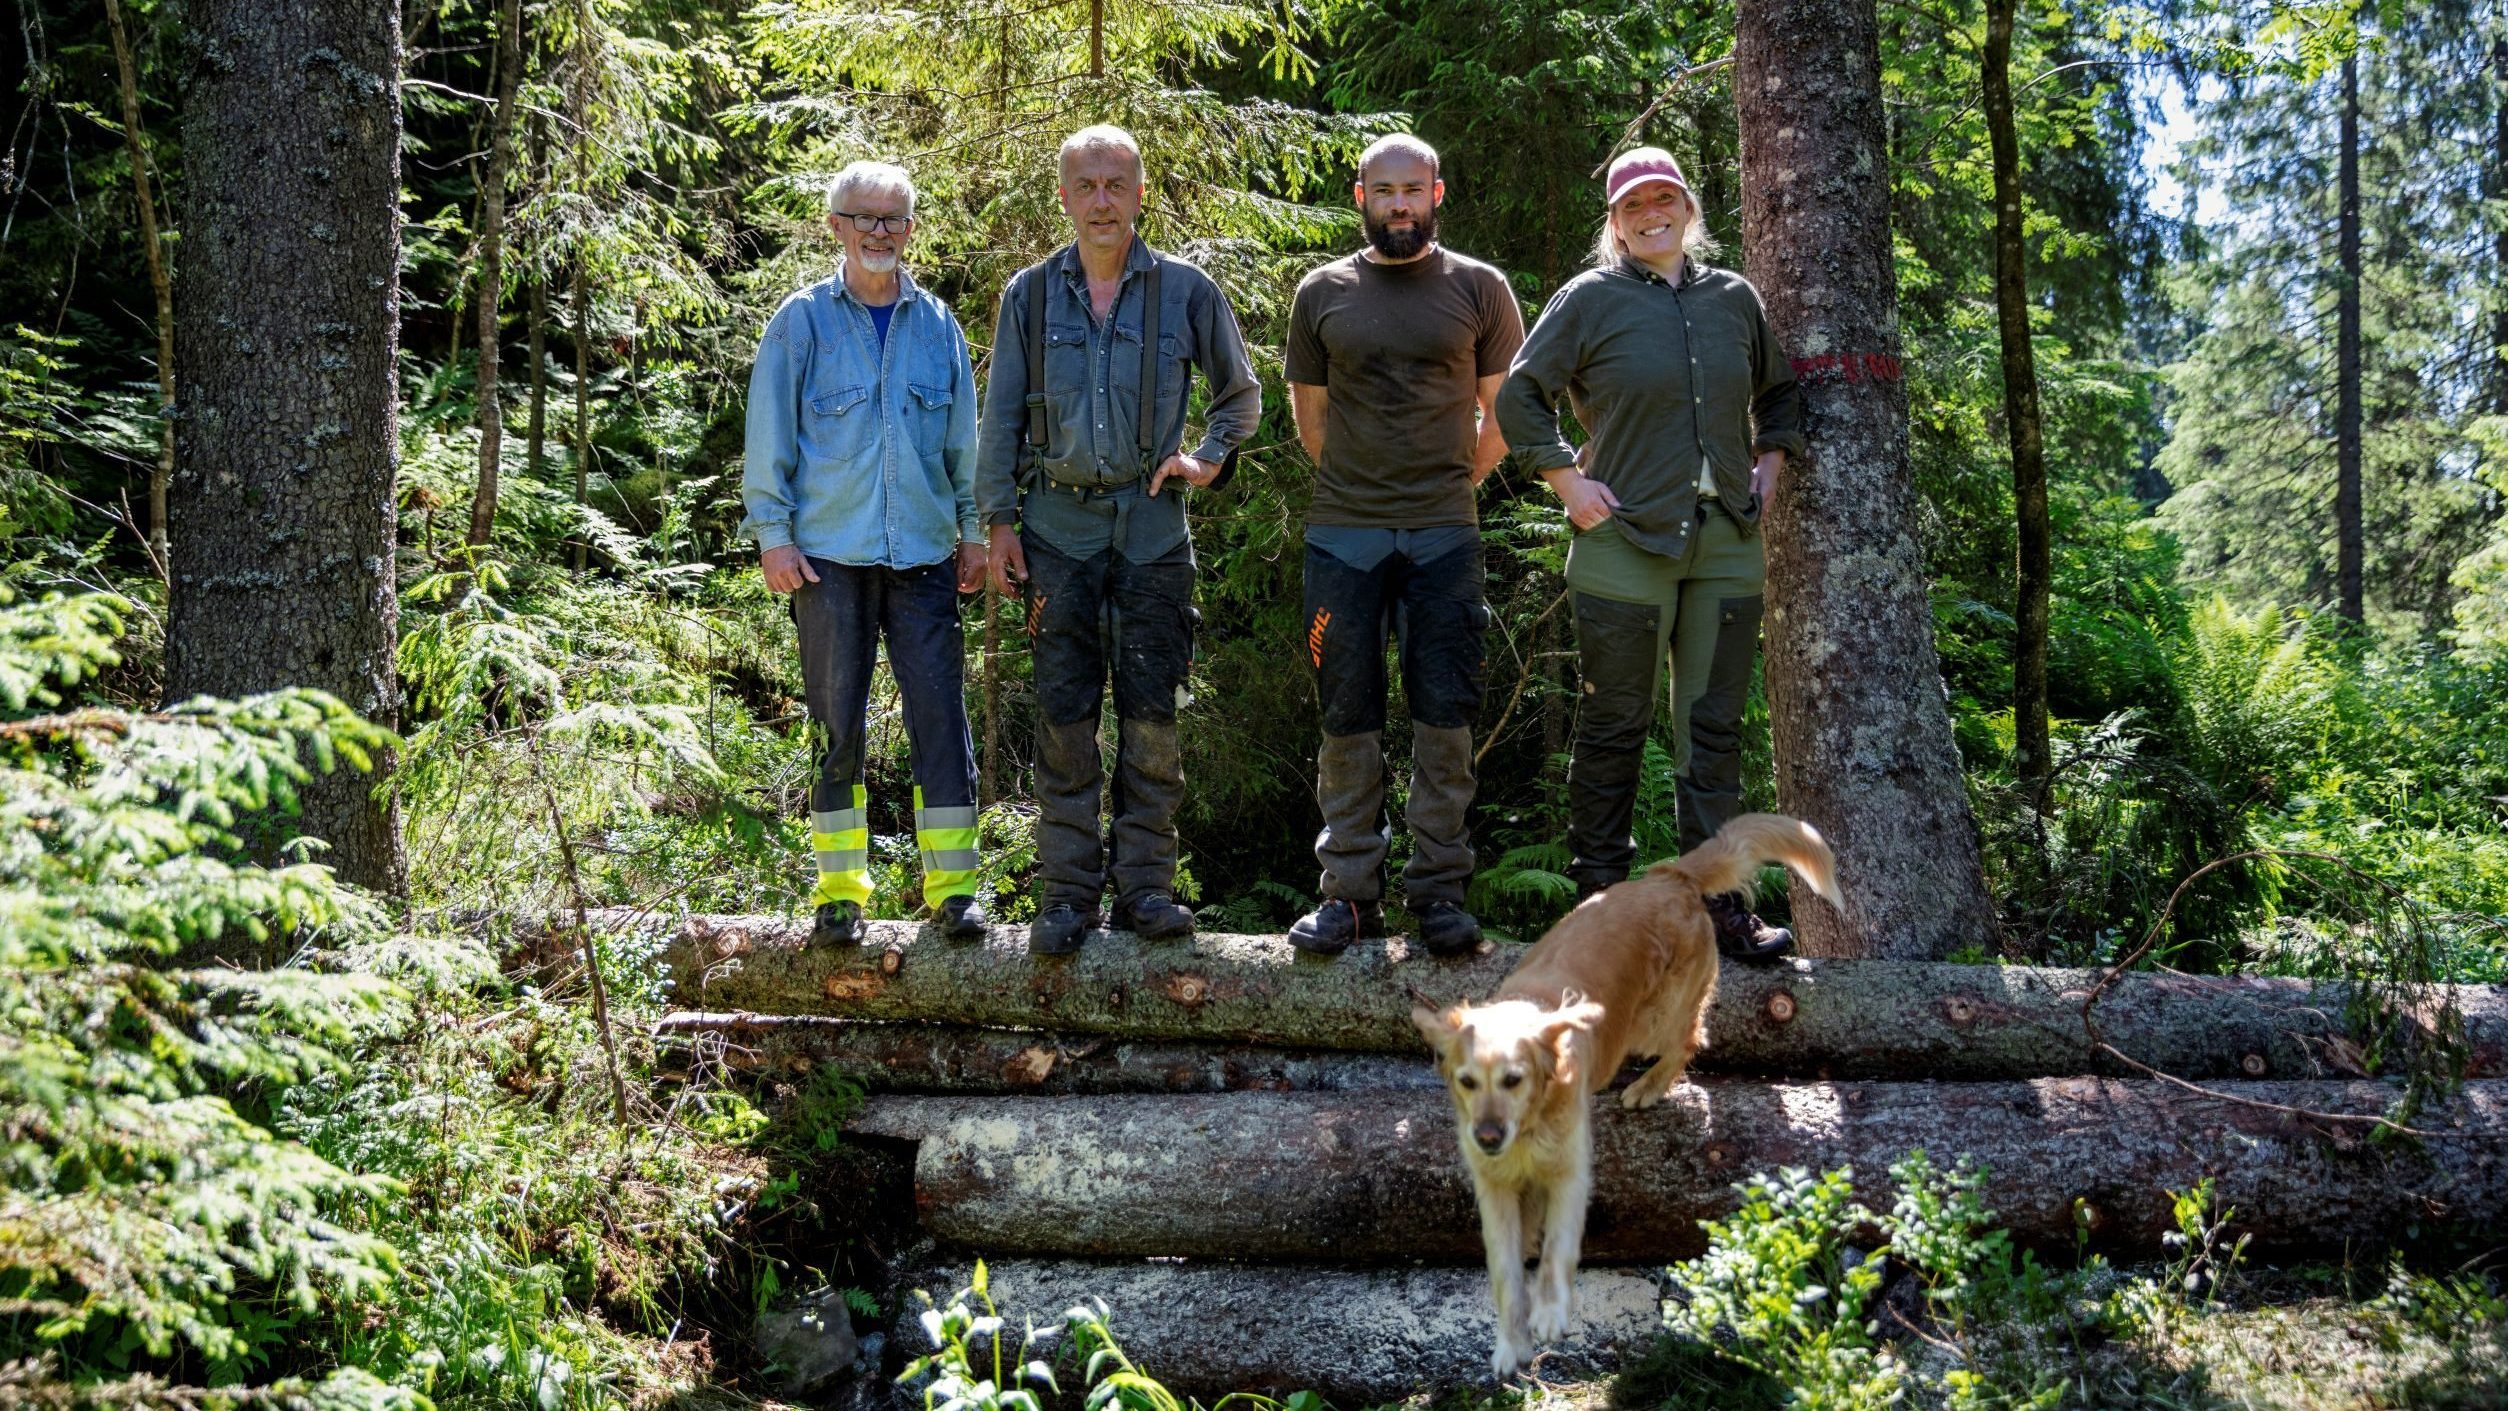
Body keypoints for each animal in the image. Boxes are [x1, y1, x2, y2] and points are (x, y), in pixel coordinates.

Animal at [1414, 817, 1845, 1383]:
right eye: (1466, 1081)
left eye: (1514, 1079)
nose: (1487, 1137)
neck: (1529, 1126)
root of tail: (1669, 874)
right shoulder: (1496, 1189)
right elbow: (1507, 1272)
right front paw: (1510, 1343)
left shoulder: (1570, 1171)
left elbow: (1557, 1248)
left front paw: (1550, 1313)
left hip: (1651, 1021)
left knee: (1689, 1038)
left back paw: (1647, 1087)